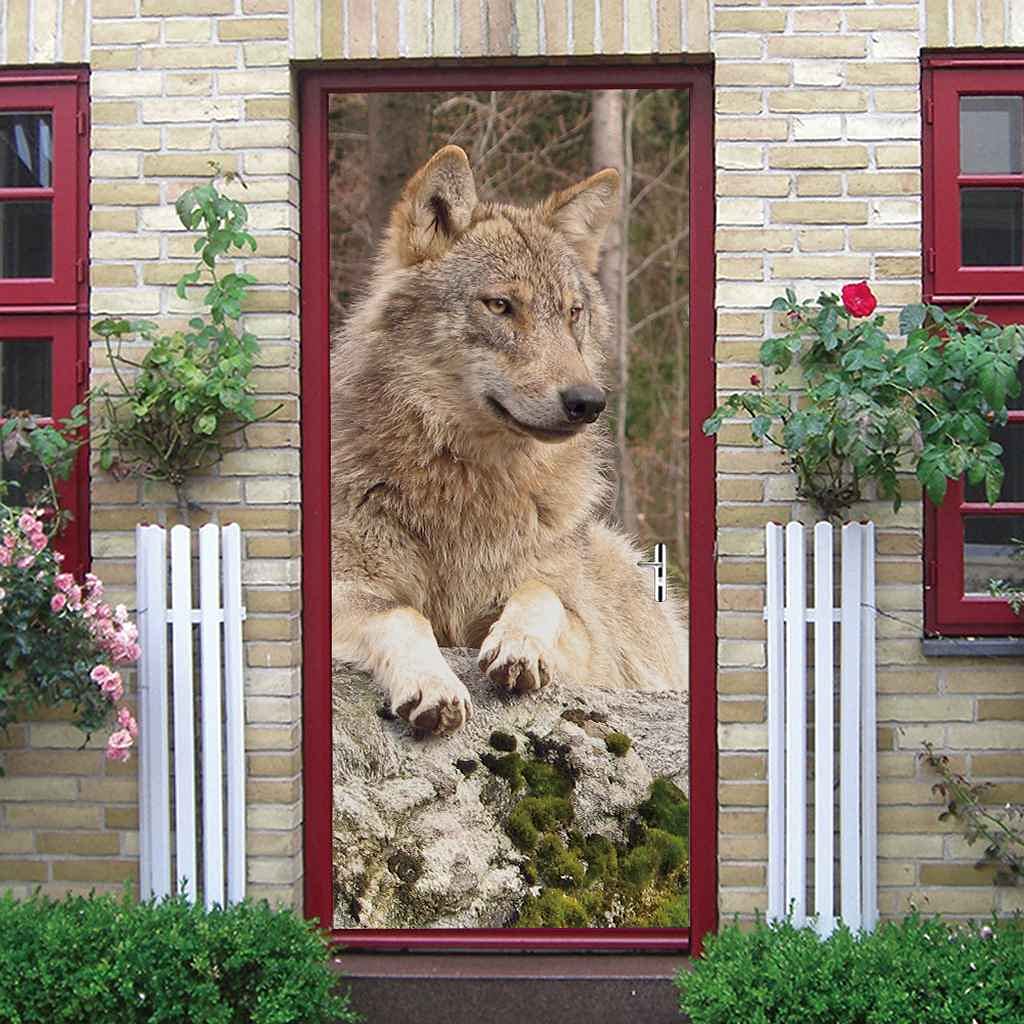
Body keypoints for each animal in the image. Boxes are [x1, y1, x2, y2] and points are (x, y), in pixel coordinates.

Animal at [330, 144, 688, 736]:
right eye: (500, 306)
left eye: (572, 312)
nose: (588, 402)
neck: (469, 483)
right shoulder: (342, 592)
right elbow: (403, 613)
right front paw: (432, 683)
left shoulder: (585, 637)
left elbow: (541, 594)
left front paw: (519, 646)